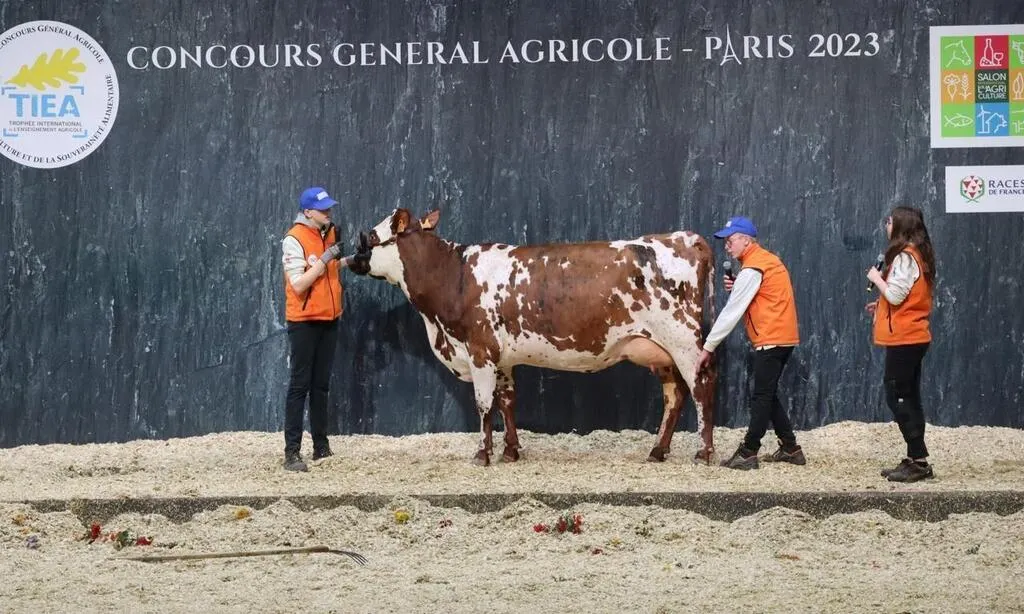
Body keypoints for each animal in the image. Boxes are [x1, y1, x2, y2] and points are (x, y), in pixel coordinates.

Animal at [349, 208, 717, 466]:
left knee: (701, 386)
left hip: (684, 341)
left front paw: (482, 454)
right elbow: (507, 401)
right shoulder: (502, 359)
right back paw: (657, 450)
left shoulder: (480, 350)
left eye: (370, 236)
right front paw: (510, 451)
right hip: (658, 350)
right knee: (674, 395)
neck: (453, 276)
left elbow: (484, 404)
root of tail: (685, 237)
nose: (350, 258)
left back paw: (704, 453)